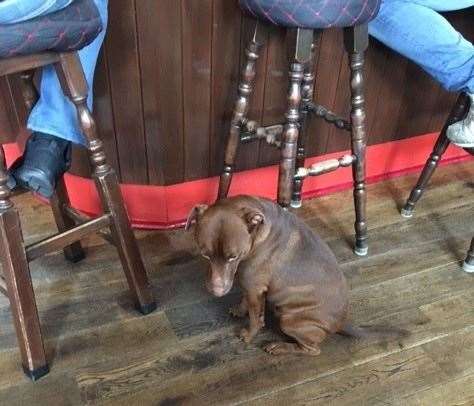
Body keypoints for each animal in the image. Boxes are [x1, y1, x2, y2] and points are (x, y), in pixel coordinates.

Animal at [185, 195, 404, 354]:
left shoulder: (254, 287)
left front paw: (247, 335)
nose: (217, 291)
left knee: (312, 350)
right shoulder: (250, 286)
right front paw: (239, 310)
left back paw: (279, 347)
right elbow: (245, 301)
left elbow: (256, 318)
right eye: (205, 254)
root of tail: (341, 323)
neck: (258, 232)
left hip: (290, 320)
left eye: (233, 256)